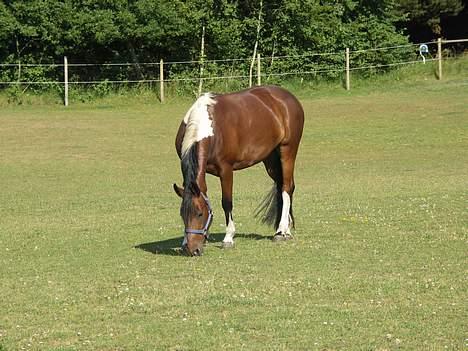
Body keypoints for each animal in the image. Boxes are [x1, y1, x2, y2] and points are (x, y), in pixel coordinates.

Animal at [172, 85, 304, 256]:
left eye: (200, 213)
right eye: (182, 214)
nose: (192, 249)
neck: (210, 127)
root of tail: (288, 97)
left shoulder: (226, 170)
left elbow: (226, 202)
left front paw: (228, 238)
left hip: (287, 151)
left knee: (287, 188)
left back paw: (281, 232)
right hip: (270, 159)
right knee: (282, 186)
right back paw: (286, 228)